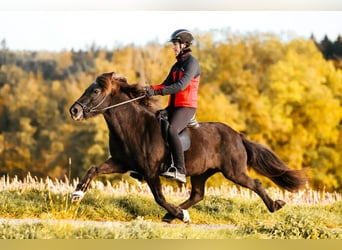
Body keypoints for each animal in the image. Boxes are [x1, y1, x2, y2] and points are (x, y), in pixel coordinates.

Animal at [69, 72, 308, 223]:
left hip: (234, 171)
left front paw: (180, 215)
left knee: (255, 183)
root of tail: (237, 136)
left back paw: (274, 205)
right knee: (198, 195)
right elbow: (93, 169)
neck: (134, 126)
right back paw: (174, 214)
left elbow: (159, 197)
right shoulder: (120, 162)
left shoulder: (150, 171)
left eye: (96, 91)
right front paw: (76, 195)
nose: (74, 111)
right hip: (202, 173)